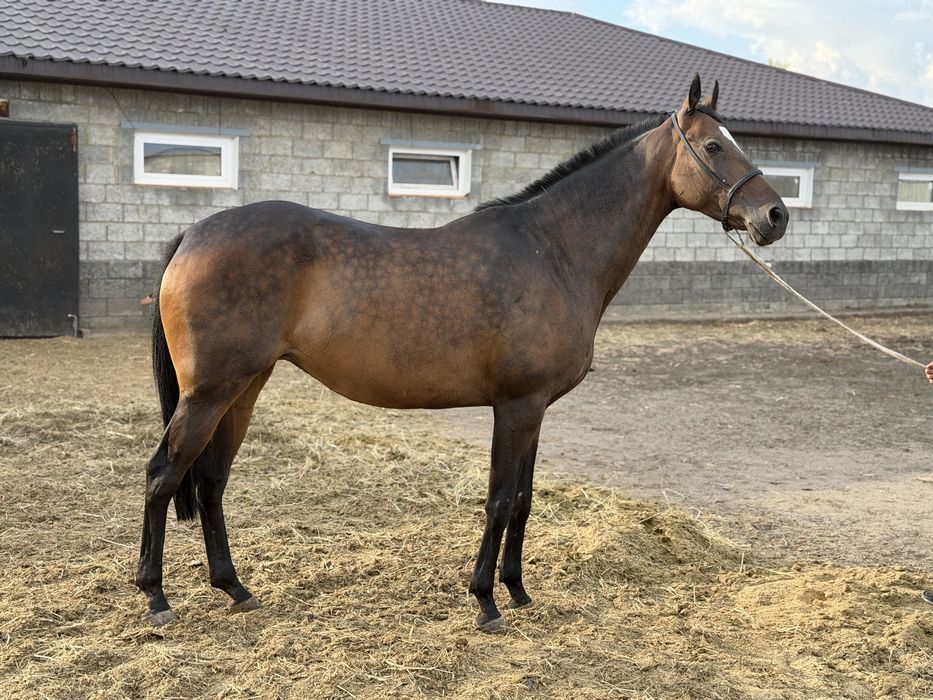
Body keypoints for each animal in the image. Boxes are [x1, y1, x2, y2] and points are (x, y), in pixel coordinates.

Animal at [137, 75, 788, 630]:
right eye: (714, 145)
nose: (774, 215)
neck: (553, 251)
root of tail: (193, 234)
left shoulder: (536, 409)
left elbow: (523, 500)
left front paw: (519, 592)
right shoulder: (516, 405)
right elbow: (498, 500)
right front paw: (485, 603)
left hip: (243, 389)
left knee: (211, 480)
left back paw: (235, 588)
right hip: (211, 392)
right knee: (163, 475)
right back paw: (157, 597)